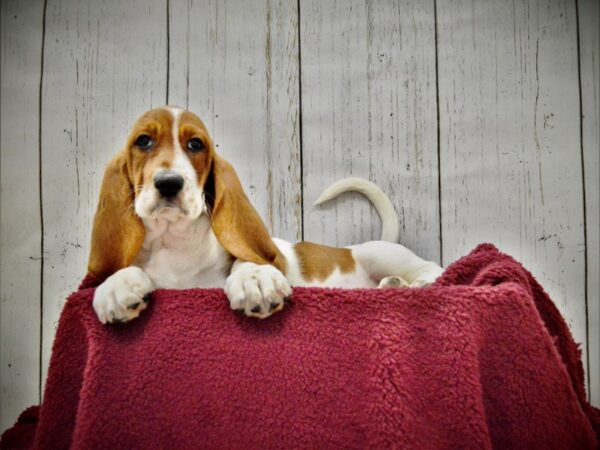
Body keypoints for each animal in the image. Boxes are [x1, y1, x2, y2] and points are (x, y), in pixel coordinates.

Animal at [90, 106, 446, 324]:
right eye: (143, 141)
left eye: (195, 144)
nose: (168, 182)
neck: (173, 239)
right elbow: (128, 271)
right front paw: (115, 286)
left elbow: (247, 259)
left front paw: (255, 280)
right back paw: (392, 286)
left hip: (379, 255)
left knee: (432, 268)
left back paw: (415, 283)